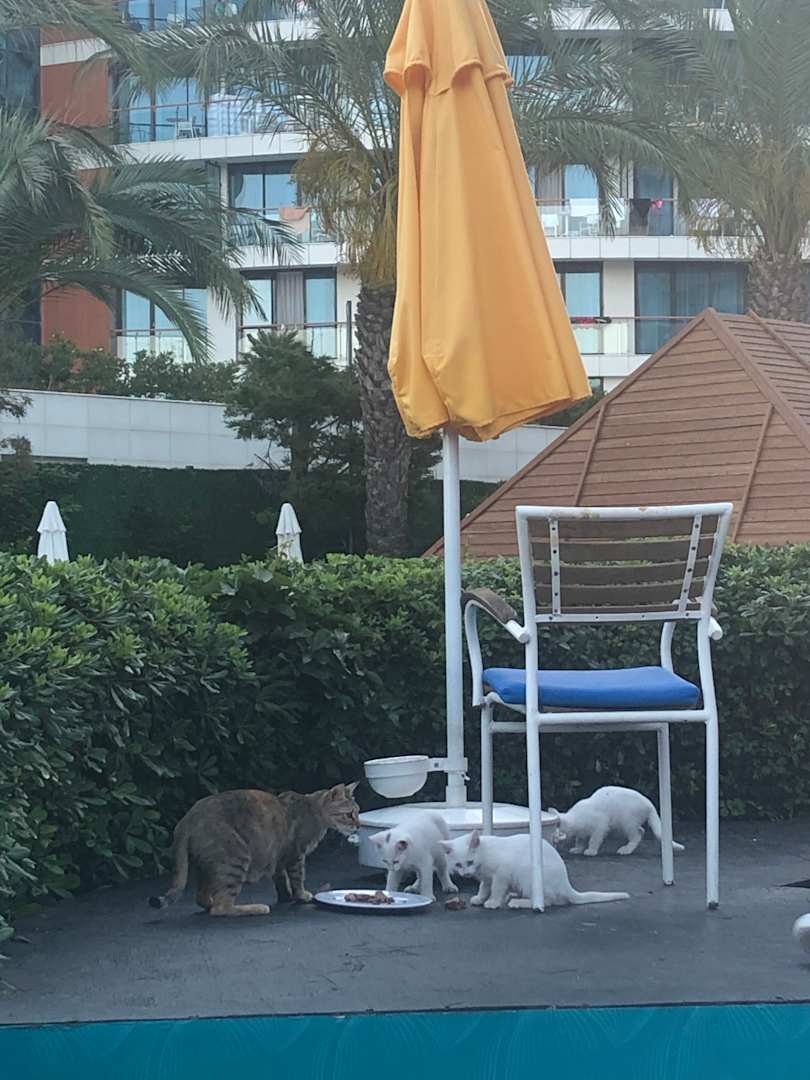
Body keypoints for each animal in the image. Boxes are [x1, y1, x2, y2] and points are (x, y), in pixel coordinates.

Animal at [149, 782, 360, 917]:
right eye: (349, 814)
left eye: (357, 812)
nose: (358, 825)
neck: (314, 808)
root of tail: (187, 819)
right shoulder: (296, 854)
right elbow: (297, 878)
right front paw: (301, 895)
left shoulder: (278, 855)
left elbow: (281, 879)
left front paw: (286, 897)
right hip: (236, 858)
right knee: (221, 907)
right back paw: (255, 908)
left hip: (208, 865)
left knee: (203, 898)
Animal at [442, 830, 630, 909]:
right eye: (458, 865)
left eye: (470, 861)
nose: (466, 874)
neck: (485, 854)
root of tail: (566, 884)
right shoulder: (488, 877)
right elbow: (484, 887)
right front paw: (480, 898)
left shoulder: (502, 873)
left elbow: (496, 889)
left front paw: (493, 902)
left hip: (529, 875)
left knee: (548, 901)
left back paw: (517, 902)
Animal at [550, 786, 685, 857]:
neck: (576, 817)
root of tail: (649, 804)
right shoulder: (582, 832)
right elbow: (580, 840)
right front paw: (578, 849)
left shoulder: (601, 824)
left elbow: (594, 839)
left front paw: (591, 851)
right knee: (640, 831)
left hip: (627, 822)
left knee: (638, 834)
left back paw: (626, 850)